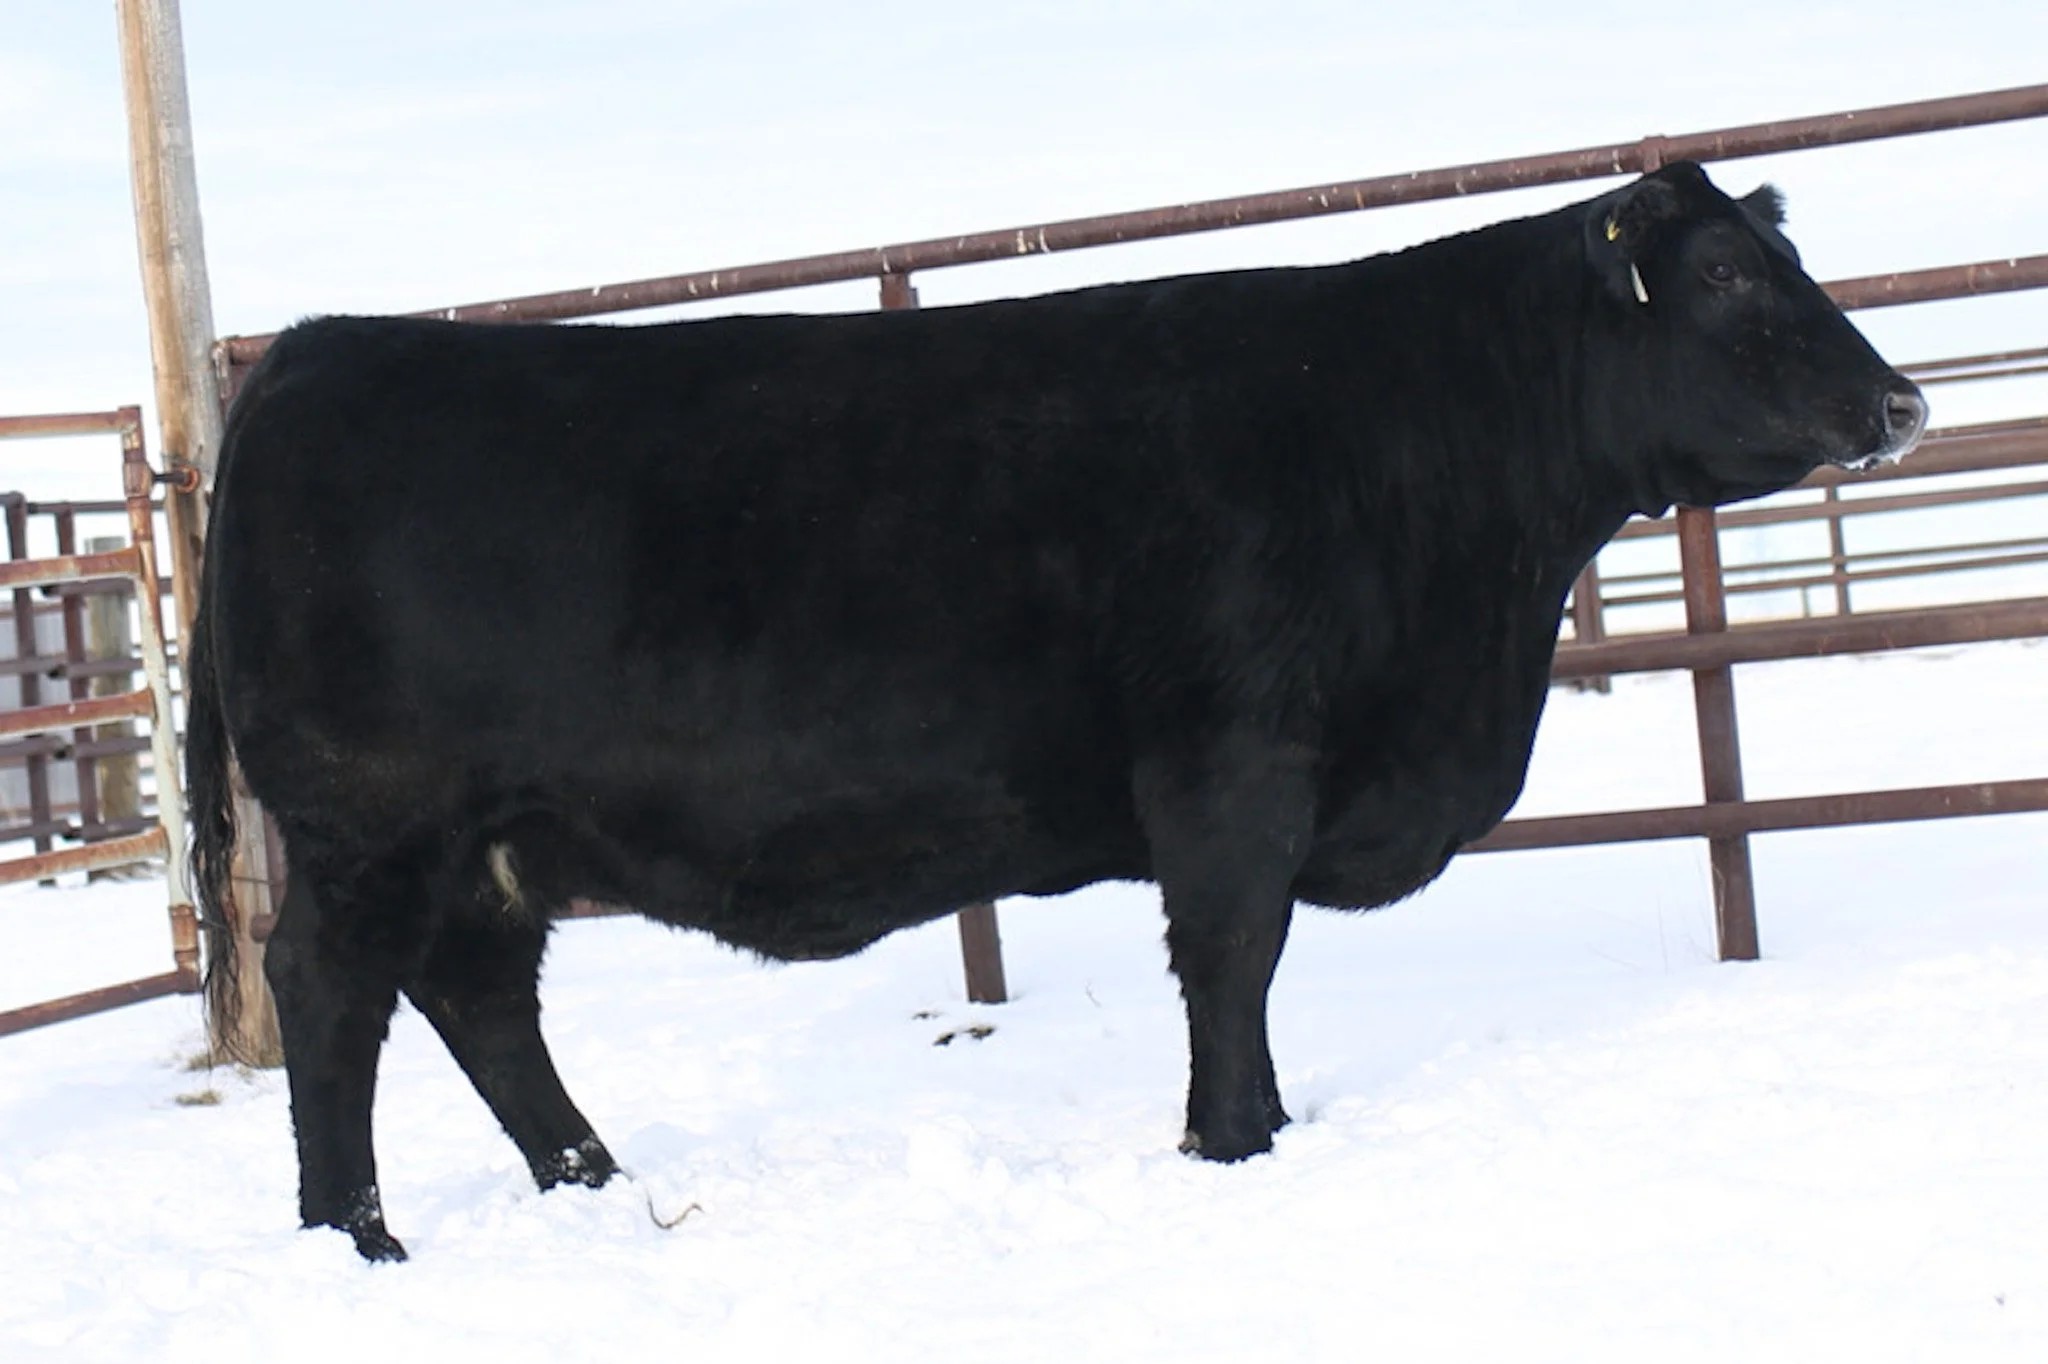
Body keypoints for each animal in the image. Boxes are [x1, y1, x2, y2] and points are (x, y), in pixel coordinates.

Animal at [186, 162, 1926, 1261]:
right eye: (1722, 273)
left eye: (1786, 258)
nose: (1900, 401)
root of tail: (315, 356)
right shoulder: (1235, 763)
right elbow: (1231, 956)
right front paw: (1234, 1143)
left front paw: (1258, 1133)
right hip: (370, 821)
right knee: (333, 993)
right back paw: (358, 1242)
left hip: (492, 841)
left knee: (481, 998)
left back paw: (594, 1184)